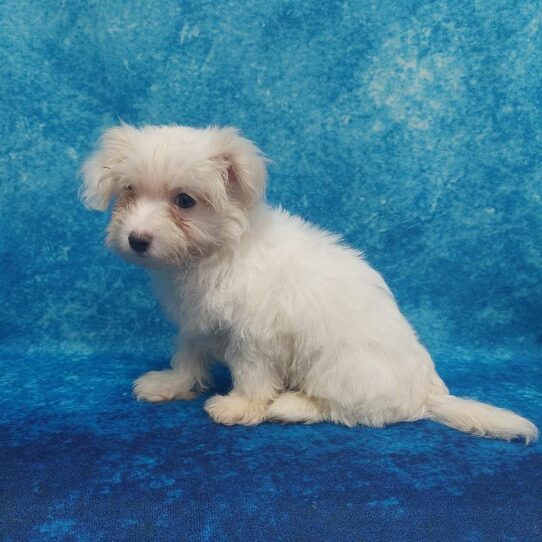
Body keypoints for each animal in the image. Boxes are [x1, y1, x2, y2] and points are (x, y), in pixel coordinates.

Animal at [82, 125, 540, 444]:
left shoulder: (254, 337)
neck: (216, 253)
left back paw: (291, 405)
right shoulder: (197, 322)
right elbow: (188, 356)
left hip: (339, 367)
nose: (137, 239)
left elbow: (252, 374)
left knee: (347, 410)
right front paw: (172, 384)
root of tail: (423, 395)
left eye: (184, 201)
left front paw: (241, 406)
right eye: (129, 191)